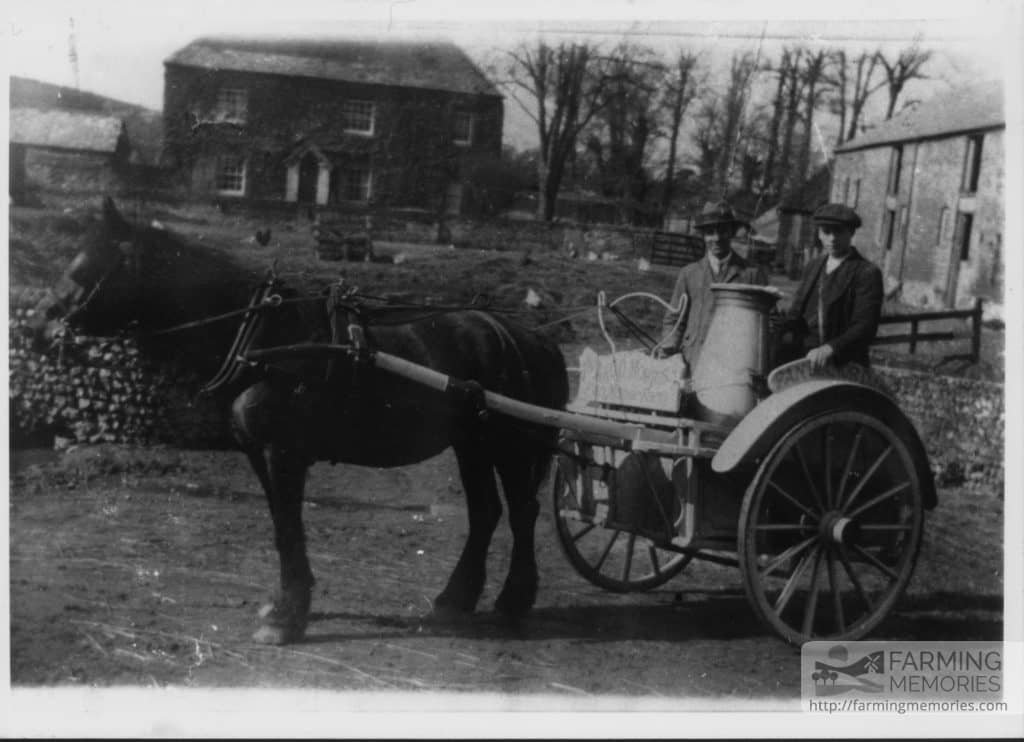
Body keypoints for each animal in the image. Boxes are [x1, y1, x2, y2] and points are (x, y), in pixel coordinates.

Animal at [29, 196, 569, 642]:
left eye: (86, 264)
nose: (38, 326)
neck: (265, 338)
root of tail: (530, 337)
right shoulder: (260, 454)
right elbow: (280, 527)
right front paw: (287, 605)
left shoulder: (283, 453)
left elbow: (290, 528)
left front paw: (287, 617)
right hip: (471, 444)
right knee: (486, 514)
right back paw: (454, 600)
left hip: (511, 445)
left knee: (521, 513)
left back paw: (512, 602)